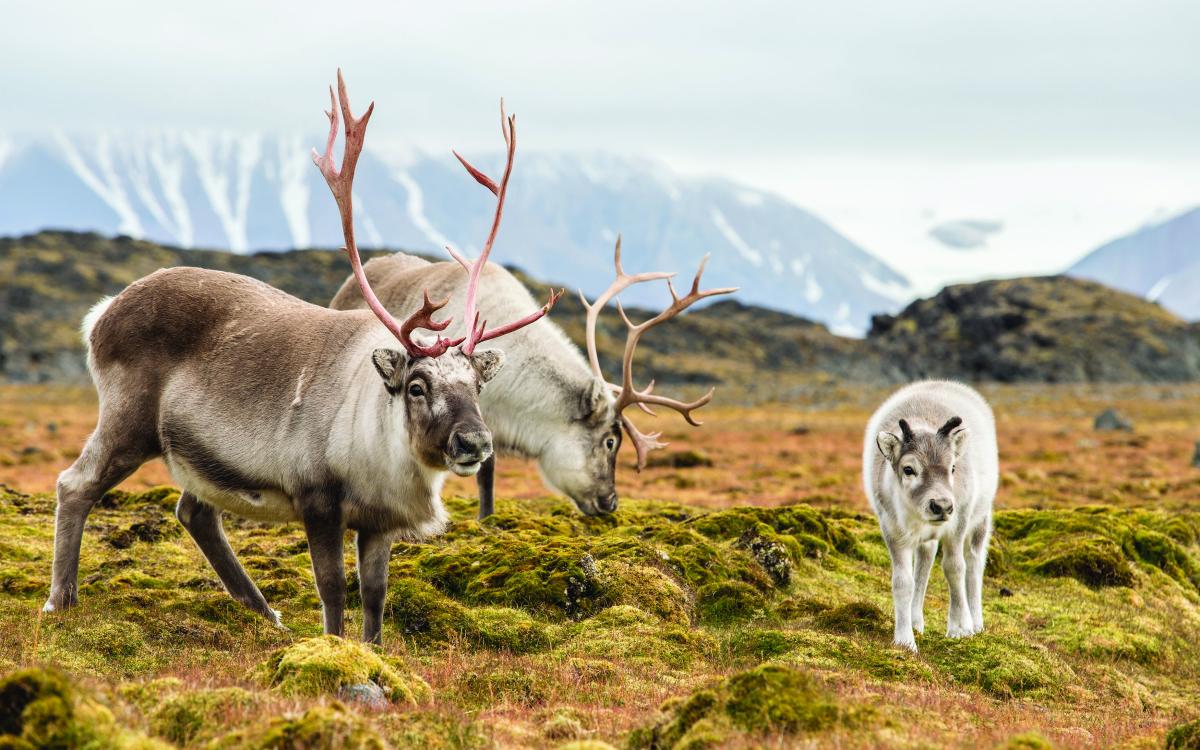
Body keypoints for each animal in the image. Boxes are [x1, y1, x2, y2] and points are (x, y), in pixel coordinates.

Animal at [42, 71, 558, 644]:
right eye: (417, 385)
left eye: (476, 383)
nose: (475, 442)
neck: (380, 443)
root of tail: (102, 314)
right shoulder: (318, 500)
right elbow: (332, 588)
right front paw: (333, 646)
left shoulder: (378, 521)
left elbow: (375, 594)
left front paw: (373, 651)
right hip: (128, 422)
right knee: (76, 484)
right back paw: (61, 600)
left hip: (197, 454)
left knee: (193, 512)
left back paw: (264, 612)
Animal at [863, 380, 999, 652]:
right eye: (908, 469)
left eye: (953, 468)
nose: (942, 506)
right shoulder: (892, 531)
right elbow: (903, 581)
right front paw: (904, 639)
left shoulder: (958, 524)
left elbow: (955, 568)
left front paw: (960, 628)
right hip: (927, 539)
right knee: (924, 564)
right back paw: (916, 621)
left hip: (980, 520)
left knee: (974, 564)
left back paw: (976, 622)